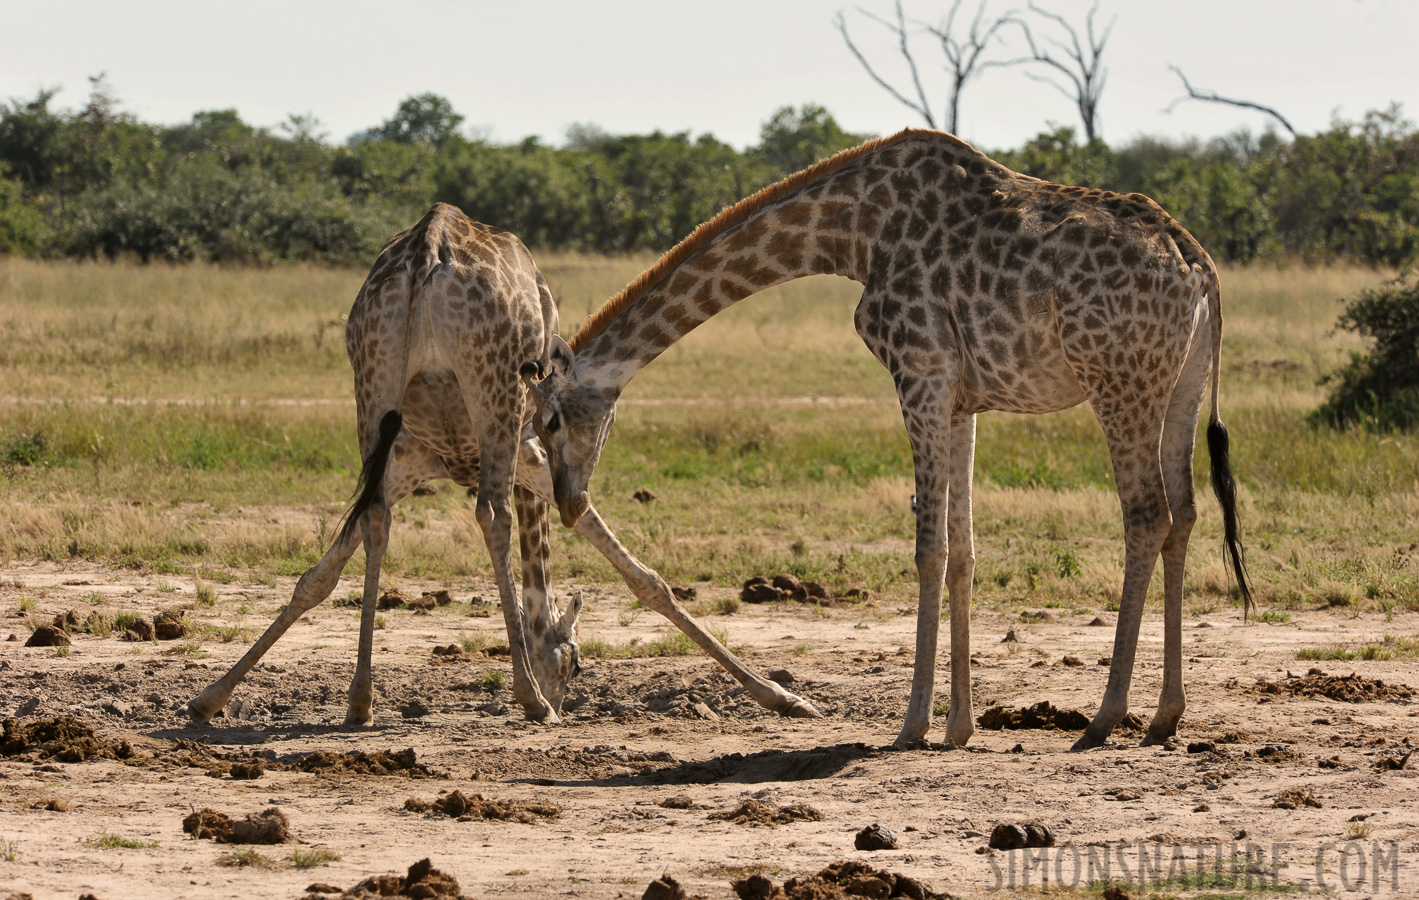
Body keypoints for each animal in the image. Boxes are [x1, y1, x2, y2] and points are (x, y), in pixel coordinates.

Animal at [178, 202, 823, 721]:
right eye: (578, 664)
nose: (563, 691)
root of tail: (428, 248)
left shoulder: (414, 455)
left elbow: (320, 572)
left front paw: (210, 698)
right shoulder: (530, 452)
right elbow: (641, 575)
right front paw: (783, 697)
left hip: (371, 386)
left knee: (377, 516)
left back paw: (362, 703)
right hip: (493, 392)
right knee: (491, 515)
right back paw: (529, 700)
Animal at [522, 127, 1254, 749]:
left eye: (548, 423)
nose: (568, 502)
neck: (851, 233)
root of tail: (1198, 264)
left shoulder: (919, 372)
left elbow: (928, 548)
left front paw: (911, 726)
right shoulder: (961, 397)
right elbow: (962, 549)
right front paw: (958, 727)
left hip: (1117, 379)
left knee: (1145, 514)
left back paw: (1105, 718)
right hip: (1181, 383)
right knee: (1185, 513)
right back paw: (1164, 715)